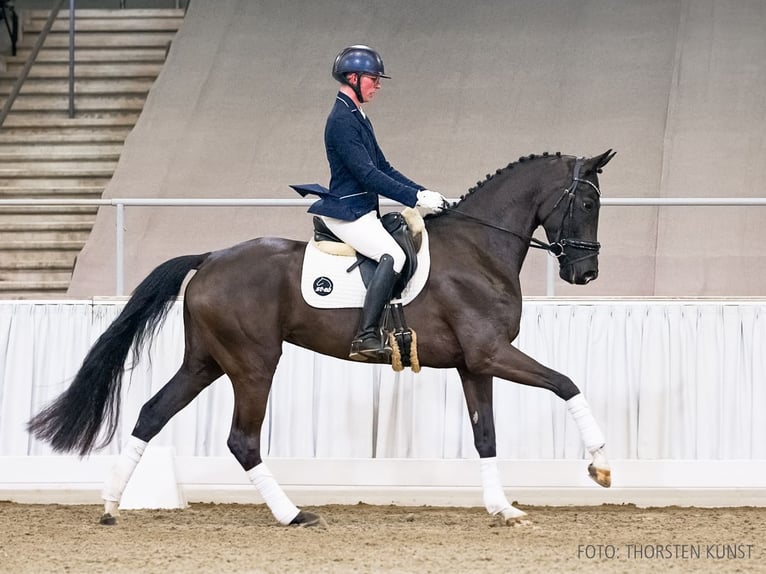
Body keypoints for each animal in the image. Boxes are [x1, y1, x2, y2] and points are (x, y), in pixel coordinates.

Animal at [28, 149, 616, 527]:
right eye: (587, 204)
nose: (585, 274)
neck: (479, 249)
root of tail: (211, 257)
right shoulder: (492, 353)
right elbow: (567, 383)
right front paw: (600, 464)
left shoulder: (475, 364)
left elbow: (486, 436)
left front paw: (504, 509)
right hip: (253, 364)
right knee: (242, 440)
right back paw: (292, 514)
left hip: (206, 362)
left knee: (152, 413)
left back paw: (111, 504)